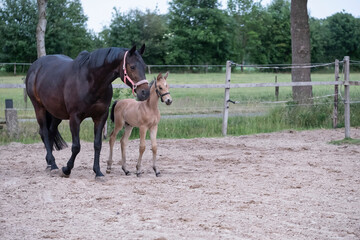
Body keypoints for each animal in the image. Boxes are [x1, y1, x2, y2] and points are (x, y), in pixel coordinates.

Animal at [25, 44, 149, 178]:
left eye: (144, 66)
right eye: (132, 66)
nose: (145, 92)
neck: (90, 80)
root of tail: (35, 66)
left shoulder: (100, 117)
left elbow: (97, 145)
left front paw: (98, 172)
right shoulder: (75, 118)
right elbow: (76, 147)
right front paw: (66, 169)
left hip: (56, 113)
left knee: (51, 132)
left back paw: (50, 163)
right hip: (39, 108)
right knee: (44, 132)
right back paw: (52, 165)